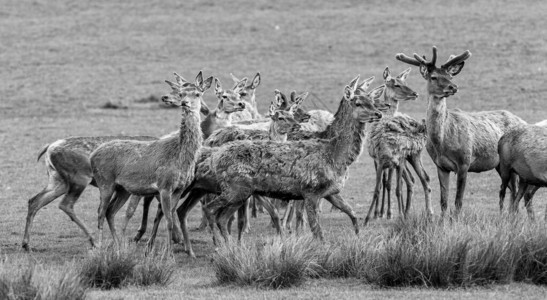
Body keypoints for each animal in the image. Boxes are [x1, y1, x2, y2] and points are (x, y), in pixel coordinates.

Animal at [90, 73, 208, 251]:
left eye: (198, 94)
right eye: (181, 94)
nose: (185, 103)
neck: (182, 157)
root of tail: (92, 156)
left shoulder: (179, 188)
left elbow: (169, 215)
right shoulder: (164, 186)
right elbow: (168, 220)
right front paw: (168, 252)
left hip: (122, 189)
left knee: (110, 211)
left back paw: (118, 245)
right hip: (105, 182)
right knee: (100, 212)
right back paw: (99, 246)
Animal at [396, 46, 528, 213]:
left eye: (450, 76)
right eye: (433, 77)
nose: (453, 87)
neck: (441, 143)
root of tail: (522, 120)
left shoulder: (465, 161)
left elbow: (458, 201)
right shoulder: (440, 165)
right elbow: (444, 202)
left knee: (515, 190)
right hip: (500, 164)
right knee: (513, 190)